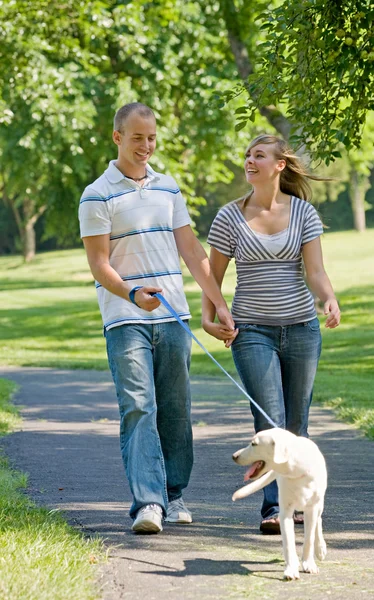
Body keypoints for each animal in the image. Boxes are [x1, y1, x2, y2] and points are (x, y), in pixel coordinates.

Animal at [232, 428, 326, 580]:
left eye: (254, 444)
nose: (234, 456)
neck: (296, 470)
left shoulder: (311, 509)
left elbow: (309, 540)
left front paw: (308, 564)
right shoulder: (285, 513)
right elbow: (288, 543)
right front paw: (291, 569)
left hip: (319, 503)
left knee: (318, 520)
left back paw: (321, 548)